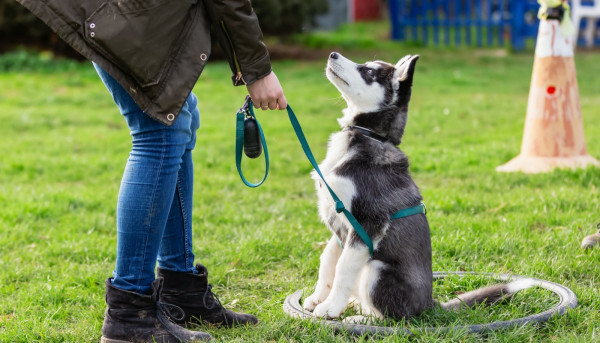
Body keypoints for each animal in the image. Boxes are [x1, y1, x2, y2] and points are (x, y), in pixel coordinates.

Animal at [304, 52, 536, 322]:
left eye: (369, 72)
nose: (333, 54)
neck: (369, 136)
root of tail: (429, 304)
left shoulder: (368, 223)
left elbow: (343, 267)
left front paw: (330, 307)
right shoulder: (340, 224)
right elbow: (328, 259)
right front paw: (317, 298)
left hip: (377, 270)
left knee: (394, 317)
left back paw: (361, 318)